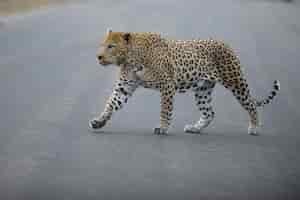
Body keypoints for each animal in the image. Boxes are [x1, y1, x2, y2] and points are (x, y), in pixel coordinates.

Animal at [88, 29, 280, 136]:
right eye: (102, 45)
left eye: (111, 46)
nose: (98, 57)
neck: (130, 59)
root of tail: (226, 44)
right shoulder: (125, 87)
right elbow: (111, 104)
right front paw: (99, 121)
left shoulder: (167, 85)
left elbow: (165, 110)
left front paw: (163, 128)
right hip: (203, 90)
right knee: (209, 112)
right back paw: (195, 128)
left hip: (235, 80)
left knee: (251, 104)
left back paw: (254, 128)